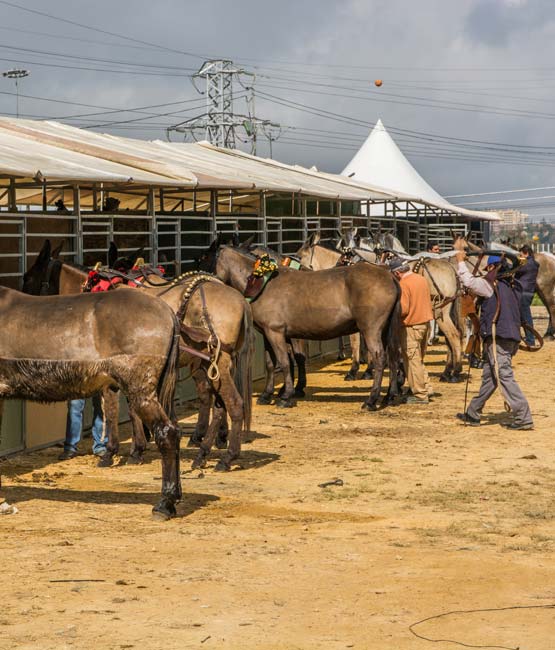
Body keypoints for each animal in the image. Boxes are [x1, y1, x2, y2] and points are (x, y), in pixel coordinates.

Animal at [22, 238, 254, 470]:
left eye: (28, 277)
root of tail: (241, 301)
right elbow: (131, 408)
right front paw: (137, 448)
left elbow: (114, 410)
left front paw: (114, 451)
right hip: (211, 366)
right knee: (219, 406)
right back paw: (204, 452)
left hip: (217, 365)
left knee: (233, 404)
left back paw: (226, 456)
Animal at [200, 238, 404, 410]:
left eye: (204, 258)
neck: (262, 281)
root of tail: (389, 276)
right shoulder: (268, 333)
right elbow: (271, 363)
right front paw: (267, 394)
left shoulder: (276, 333)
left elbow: (284, 362)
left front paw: (286, 396)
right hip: (385, 331)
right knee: (393, 356)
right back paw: (389, 396)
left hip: (371, 330)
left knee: (380, 358)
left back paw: (371, 400)